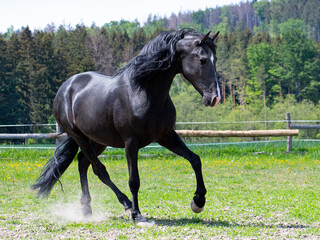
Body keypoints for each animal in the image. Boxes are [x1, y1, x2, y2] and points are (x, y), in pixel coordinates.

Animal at [31, 29, 220, 222]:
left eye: (215, 59)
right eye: (203, 59)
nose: (214, 98)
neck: (144, 92)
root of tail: (65, 87)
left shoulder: (166, 136)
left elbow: (195, 159)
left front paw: (198, 201)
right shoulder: (131, 142)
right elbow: (134, 180)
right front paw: (137, 213)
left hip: (98, 140)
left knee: (83, 163)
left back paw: (87, 208)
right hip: (80, 137)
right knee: (99, 169)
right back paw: (126, 204)